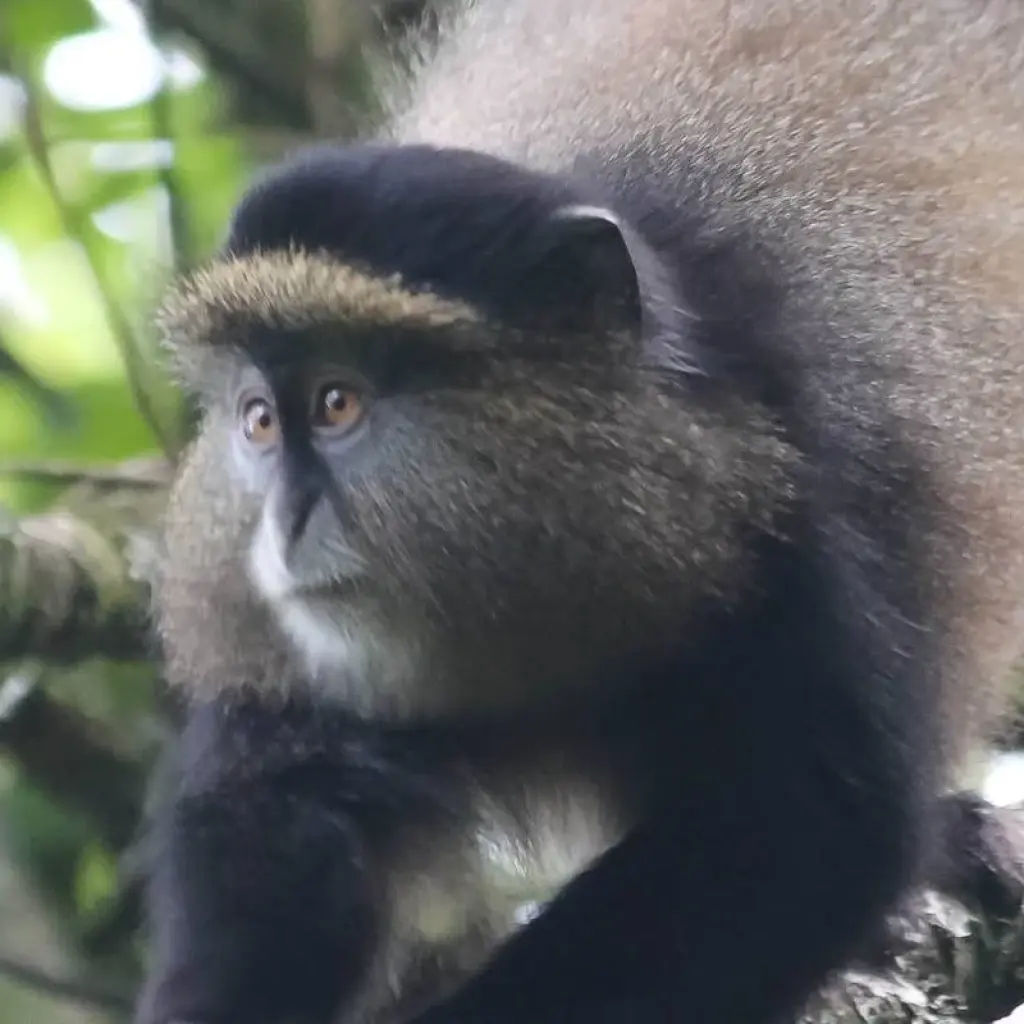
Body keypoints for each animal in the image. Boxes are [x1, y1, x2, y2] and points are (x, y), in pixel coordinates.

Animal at [135, 1, 1024, 1023]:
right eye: (258, 420)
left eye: (336, 404)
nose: (282, 527)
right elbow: (281, 803)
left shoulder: (809, 522)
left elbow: (804, 836)